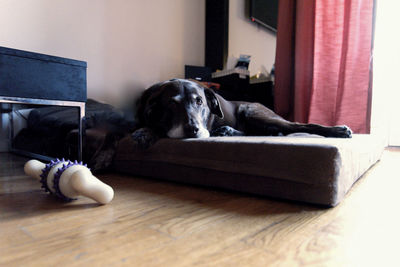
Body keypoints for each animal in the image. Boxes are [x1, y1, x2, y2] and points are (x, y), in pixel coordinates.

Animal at [133, 78, 352, 150]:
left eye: (199, 102)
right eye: (172, 104)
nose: (192, 129)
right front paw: (144, 132)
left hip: (253, 112)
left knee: (298, 125)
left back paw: (339, 130)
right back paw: (227, 131)